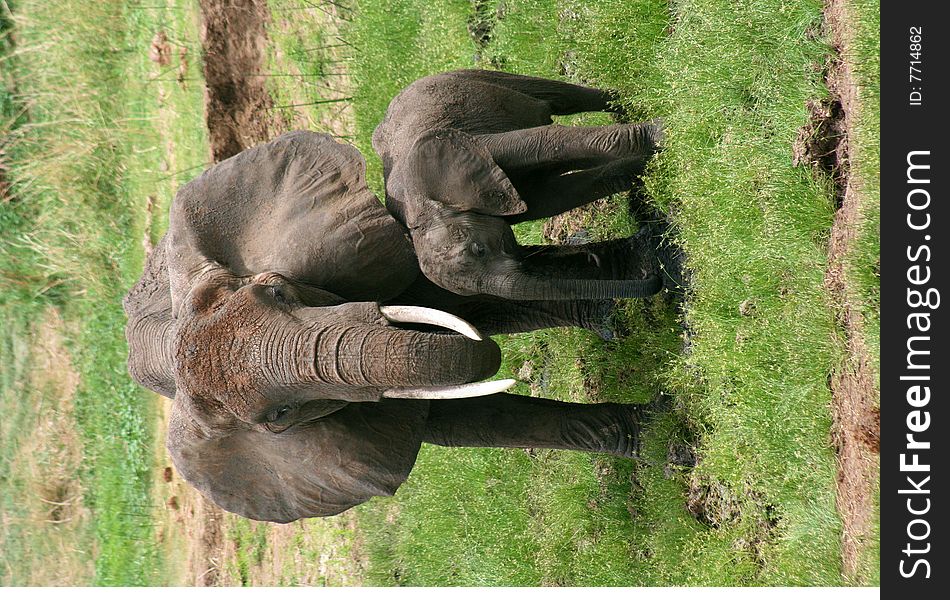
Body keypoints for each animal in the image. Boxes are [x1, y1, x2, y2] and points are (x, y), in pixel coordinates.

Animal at [374, 69, 668, 300]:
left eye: (479, 250)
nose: (655, 279)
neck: (419, 205)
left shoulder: (482, 144)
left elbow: (547, 141)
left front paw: (662, 134)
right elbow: (556, 195)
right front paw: (646, 170)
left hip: (467, 77)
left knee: (563, 98)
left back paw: (627, 107)